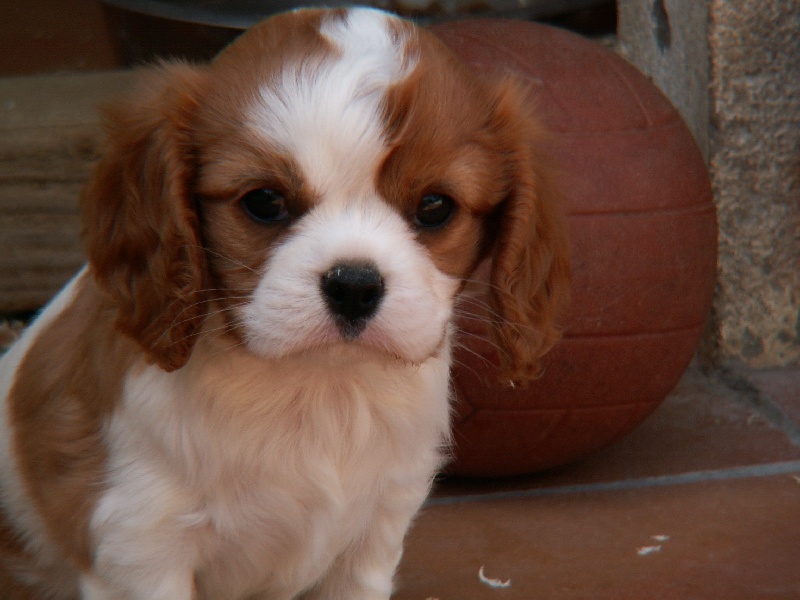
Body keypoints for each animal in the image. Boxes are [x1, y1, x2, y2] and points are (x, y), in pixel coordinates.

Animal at [0, 7, 569, 599]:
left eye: (435, 207)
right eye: (264, 202)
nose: (354, 285)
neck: (317, 389)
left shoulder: (373, 537)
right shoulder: (140, 543)